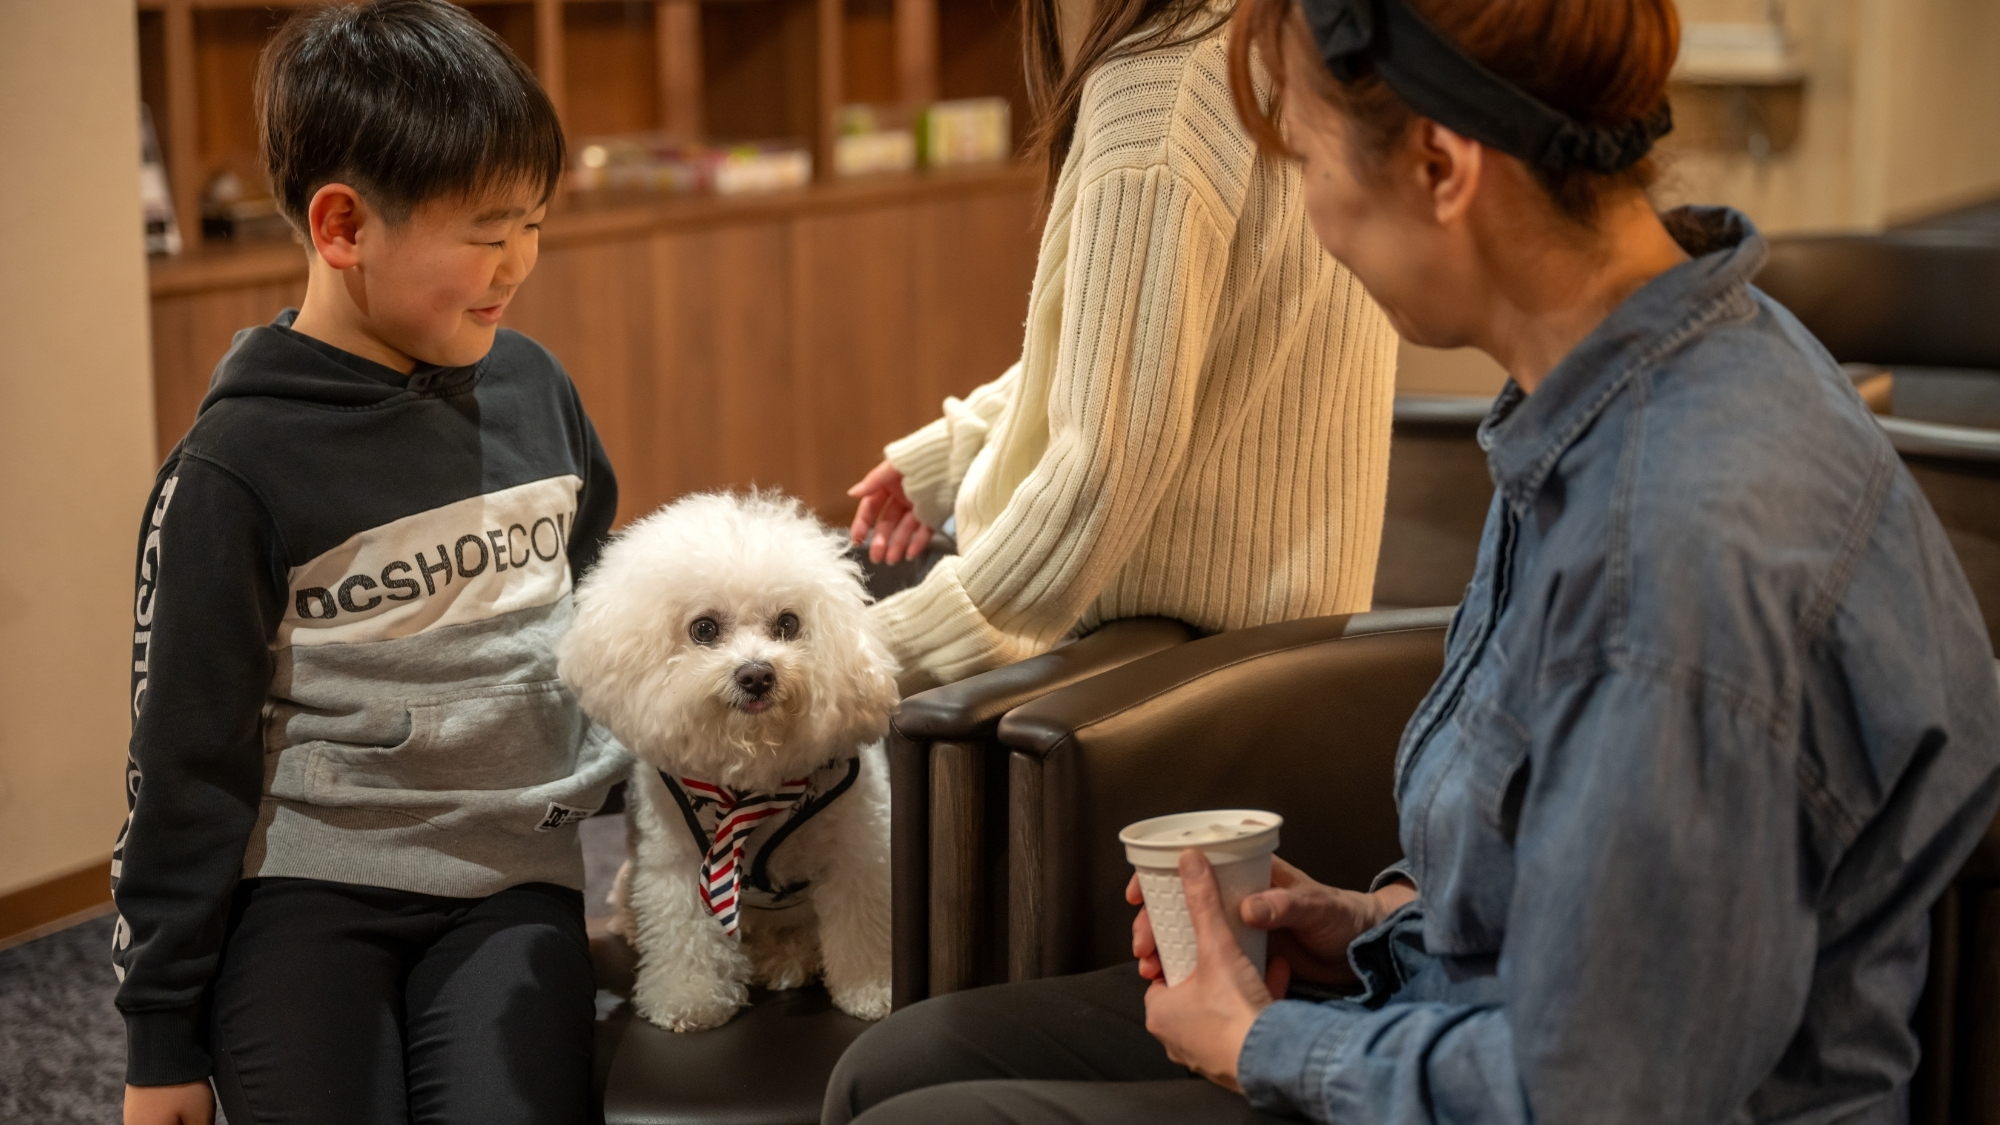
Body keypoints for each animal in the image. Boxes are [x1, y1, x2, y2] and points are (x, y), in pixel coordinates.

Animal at [564, 488, 908, 1024]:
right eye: (704, 629)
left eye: (788, 623)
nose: (756, 674)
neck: (752, 778)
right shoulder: (679, 863)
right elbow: (686, 934)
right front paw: (689, 998)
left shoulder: (859, 856)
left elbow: (864, 928)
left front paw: (874, 989)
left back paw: (785, 959)